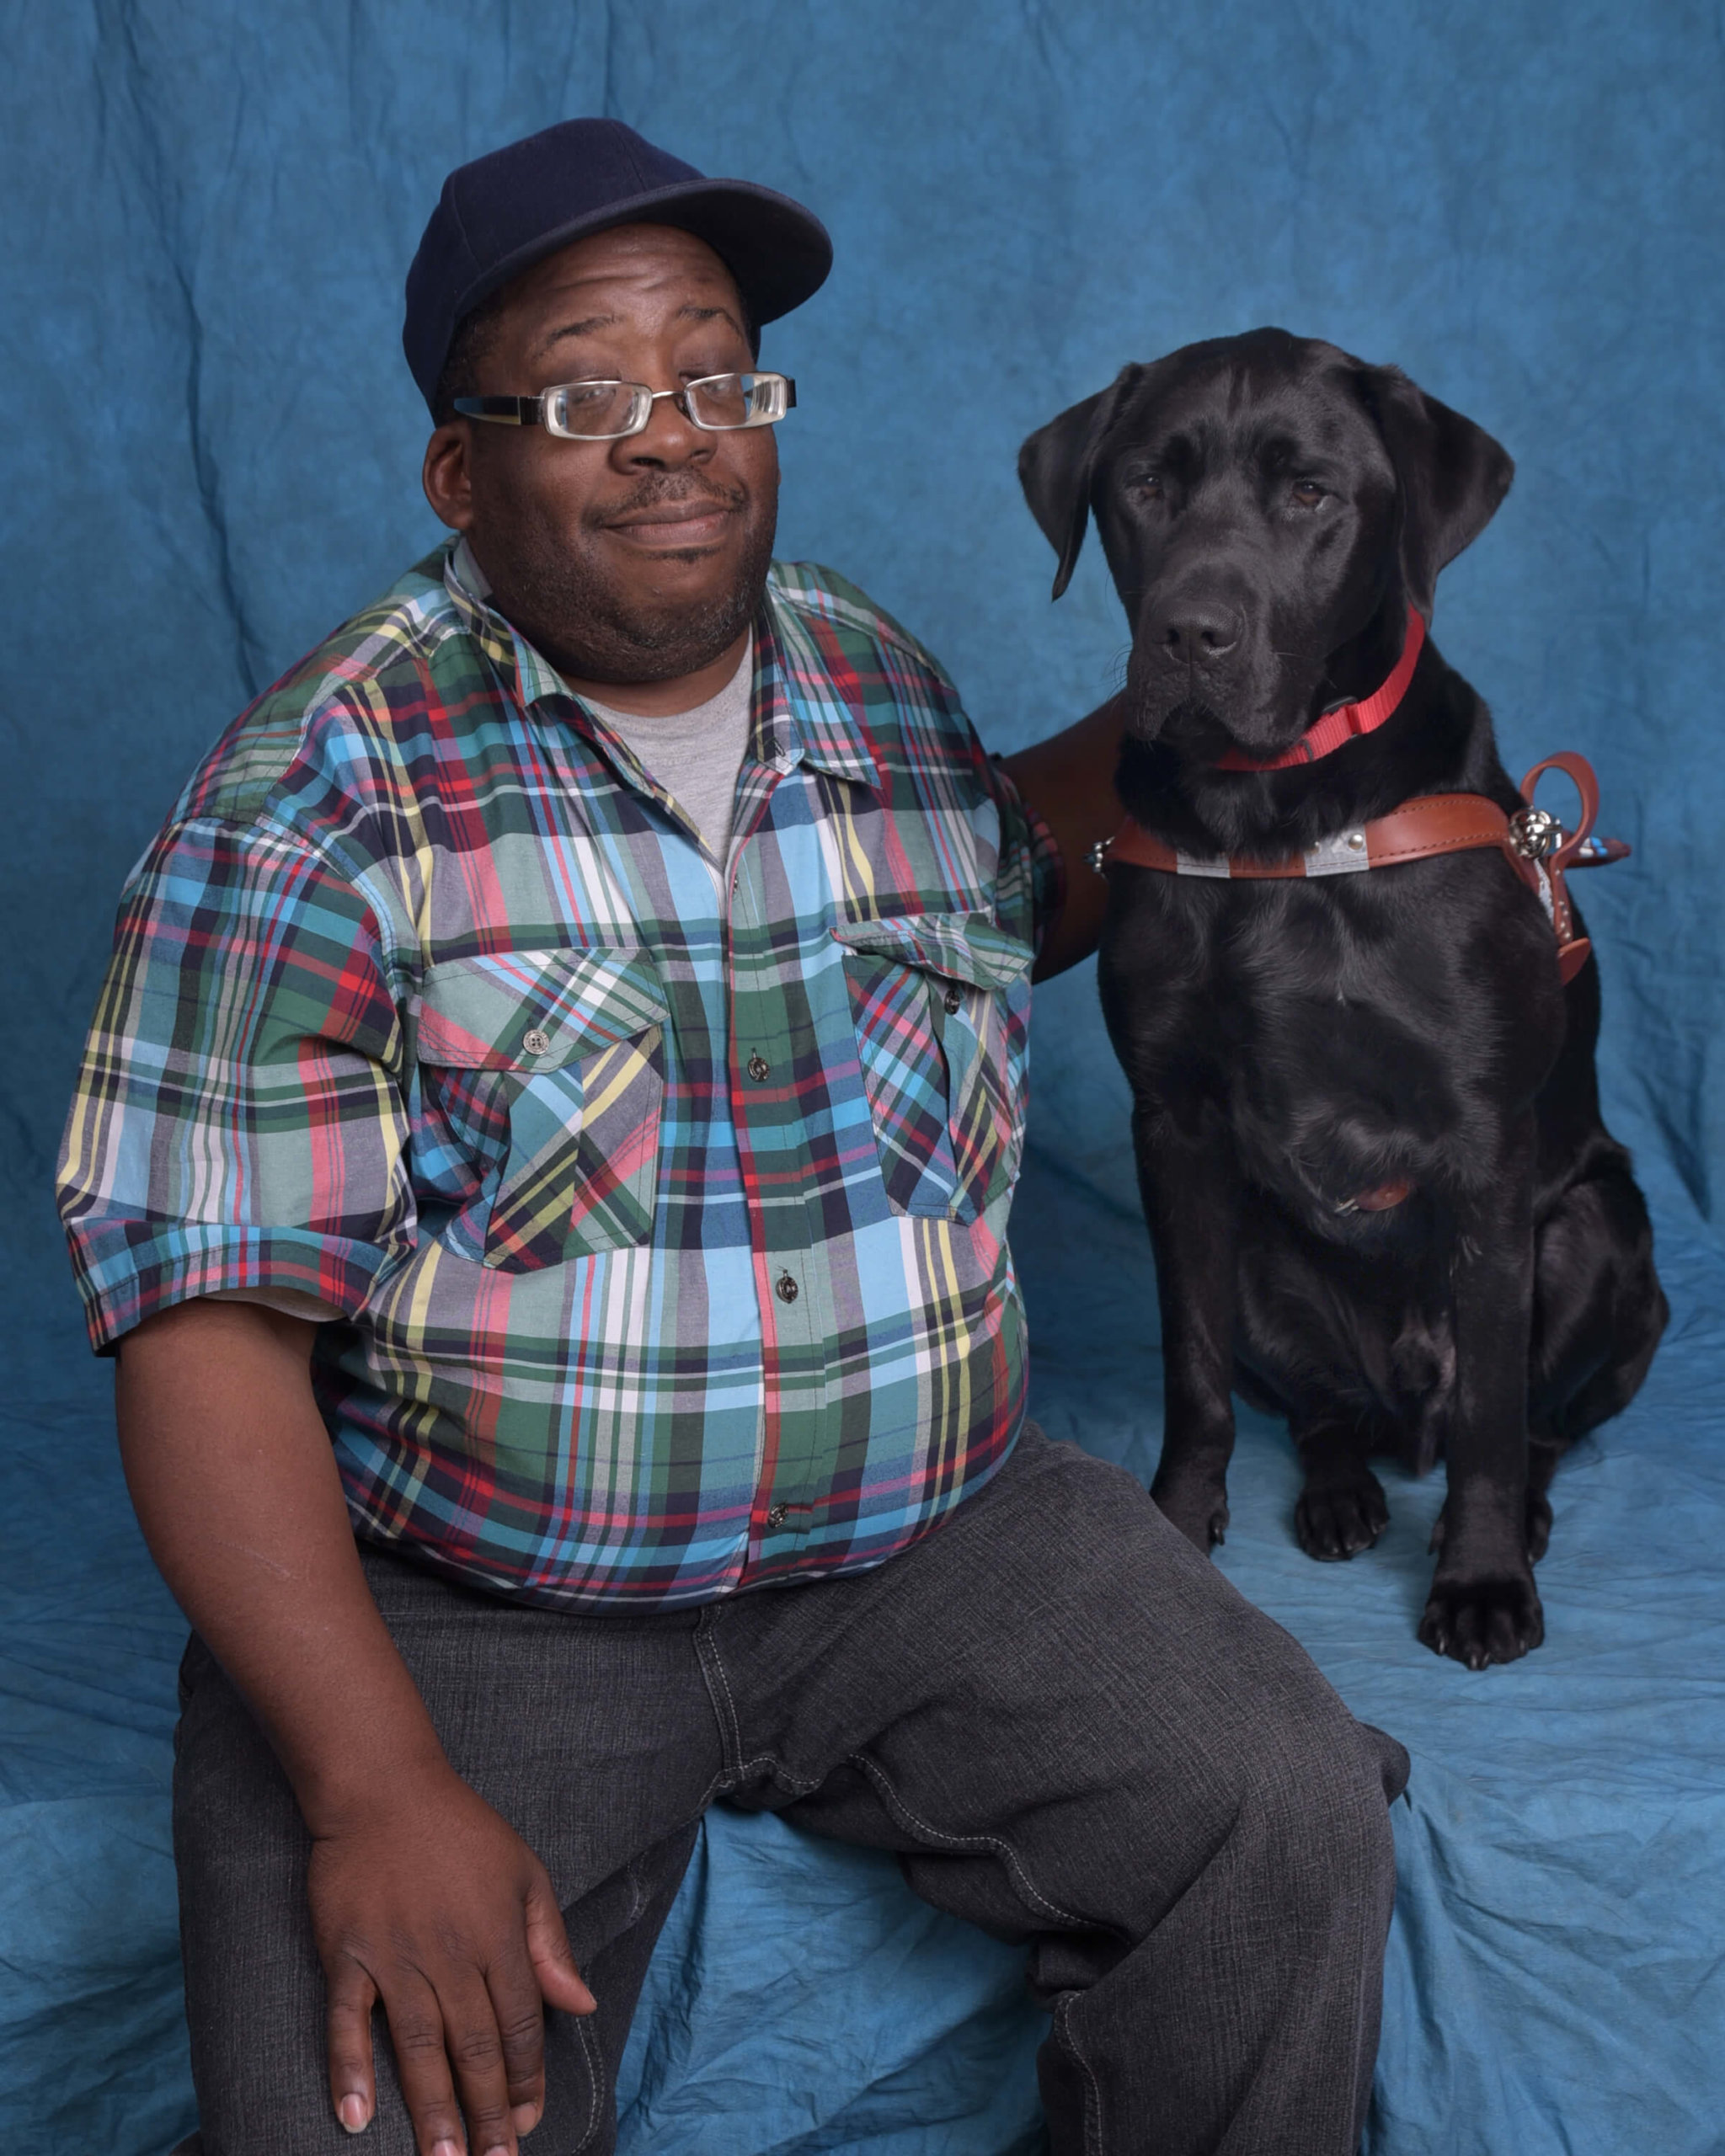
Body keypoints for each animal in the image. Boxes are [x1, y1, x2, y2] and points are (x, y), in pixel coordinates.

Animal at [1017, 328, 1664, 1664]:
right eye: (1143, 487)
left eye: (1310, 494)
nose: (1191, 634)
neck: (1270, 821)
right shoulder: (1174, 1127)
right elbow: (1194, 1366)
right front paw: (1177, 1519)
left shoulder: (1485, 1143)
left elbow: (1492, 1419)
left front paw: (1479, 1578)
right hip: (1263, 1248)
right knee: (1321, 1407)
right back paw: (1337, 1490)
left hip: (1599, 1233)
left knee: (1530, 1423)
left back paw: (1510, 1513)